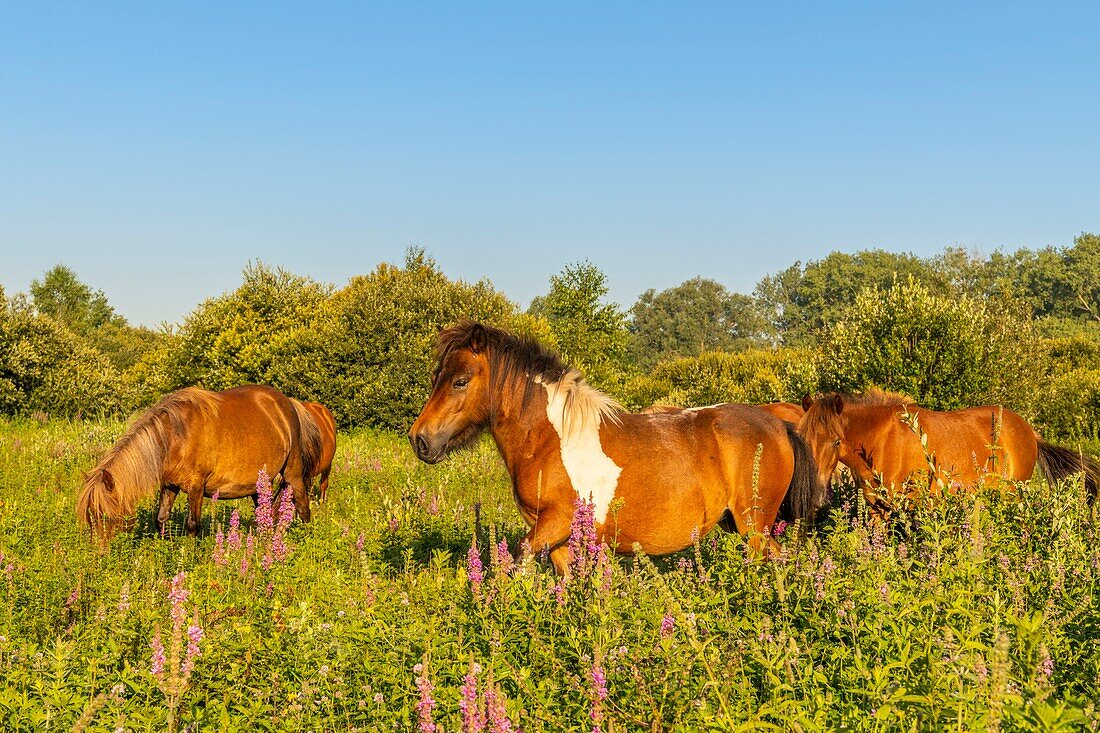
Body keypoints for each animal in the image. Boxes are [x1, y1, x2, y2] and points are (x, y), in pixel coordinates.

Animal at [74, 385, 319, 539]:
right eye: (91, 517)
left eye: (105, 515)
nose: (100, 555)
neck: (174, 436)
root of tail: (288, 403)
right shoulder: (169, 486)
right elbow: (161, 520)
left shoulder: (196, 487)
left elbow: (192, 525)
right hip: (259, 484)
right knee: (264, 513)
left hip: (293, 473)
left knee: (303, 507)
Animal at [409, 323, 822, 572]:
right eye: (437, 377)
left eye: (460, 381)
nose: (420, 439)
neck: (549, 439)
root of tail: (779, 426)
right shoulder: (558, 537)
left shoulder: (554, 524)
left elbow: (515, 563)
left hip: (754, 527)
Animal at [800, 385, 1100, 510]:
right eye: (803, 439)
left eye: (836, 441)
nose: (815, 496)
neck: (881, 441)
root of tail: (1030, 433)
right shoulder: (877, 508)